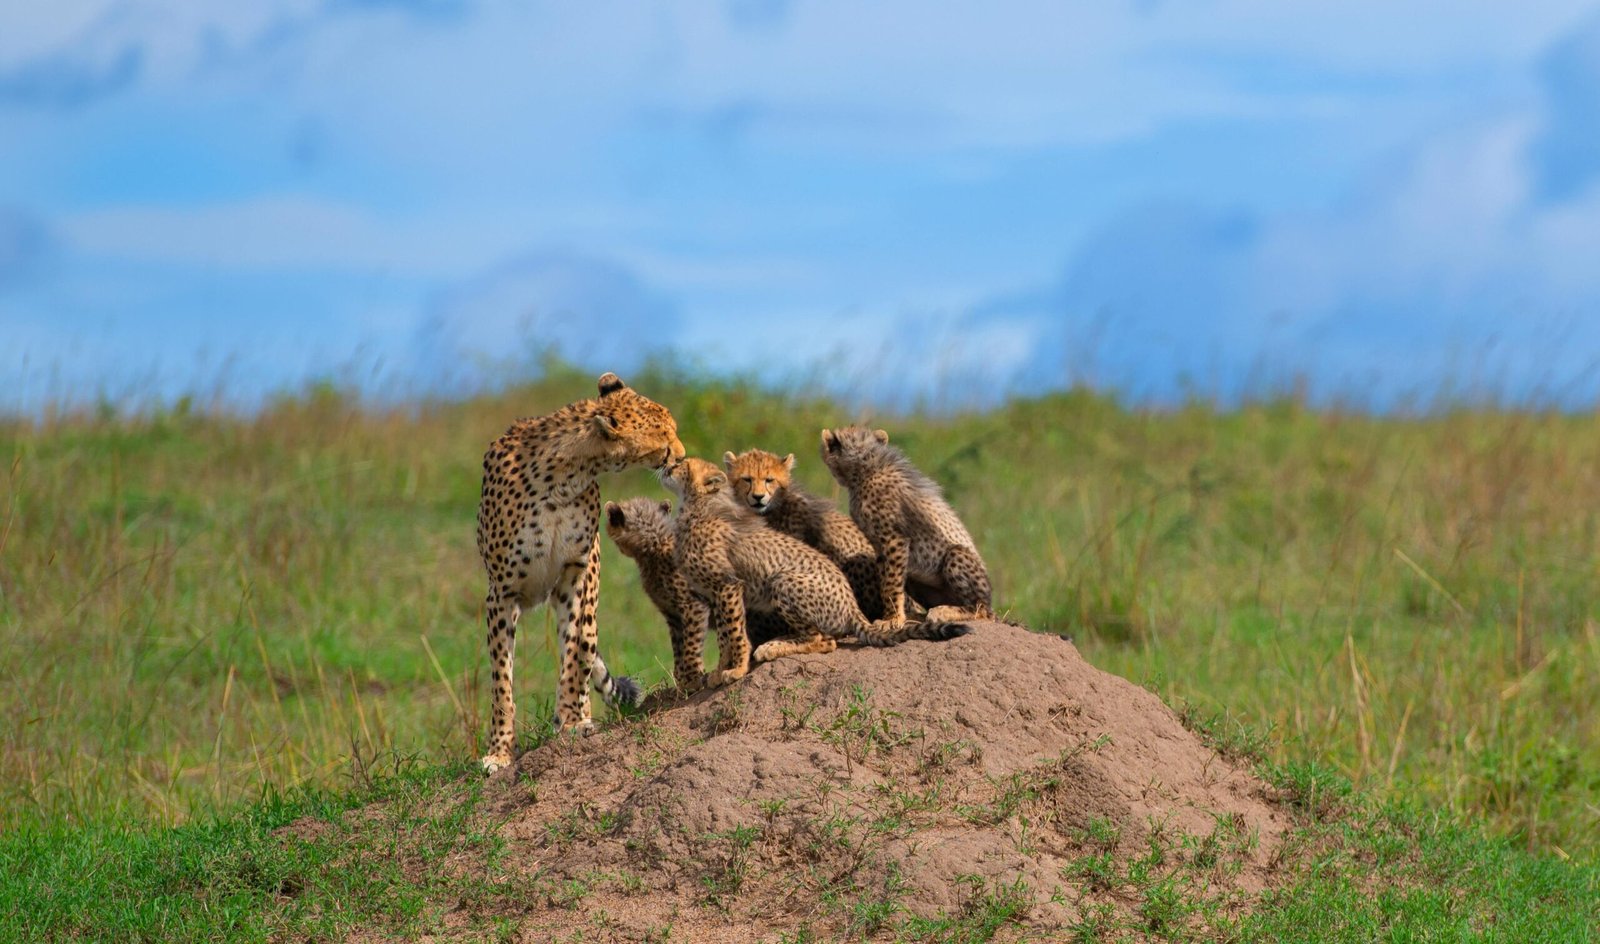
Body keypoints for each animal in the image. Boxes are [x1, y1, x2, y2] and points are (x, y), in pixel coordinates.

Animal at [470, 374, 678, 774]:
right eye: (664, 435)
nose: (681, 456)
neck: (564, 475)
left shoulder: (572, 577)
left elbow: (572, 656)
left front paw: (568, 721)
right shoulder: (501, 594)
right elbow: (502, 679)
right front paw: (500, 751)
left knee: (585, 650)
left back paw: (581, 717)